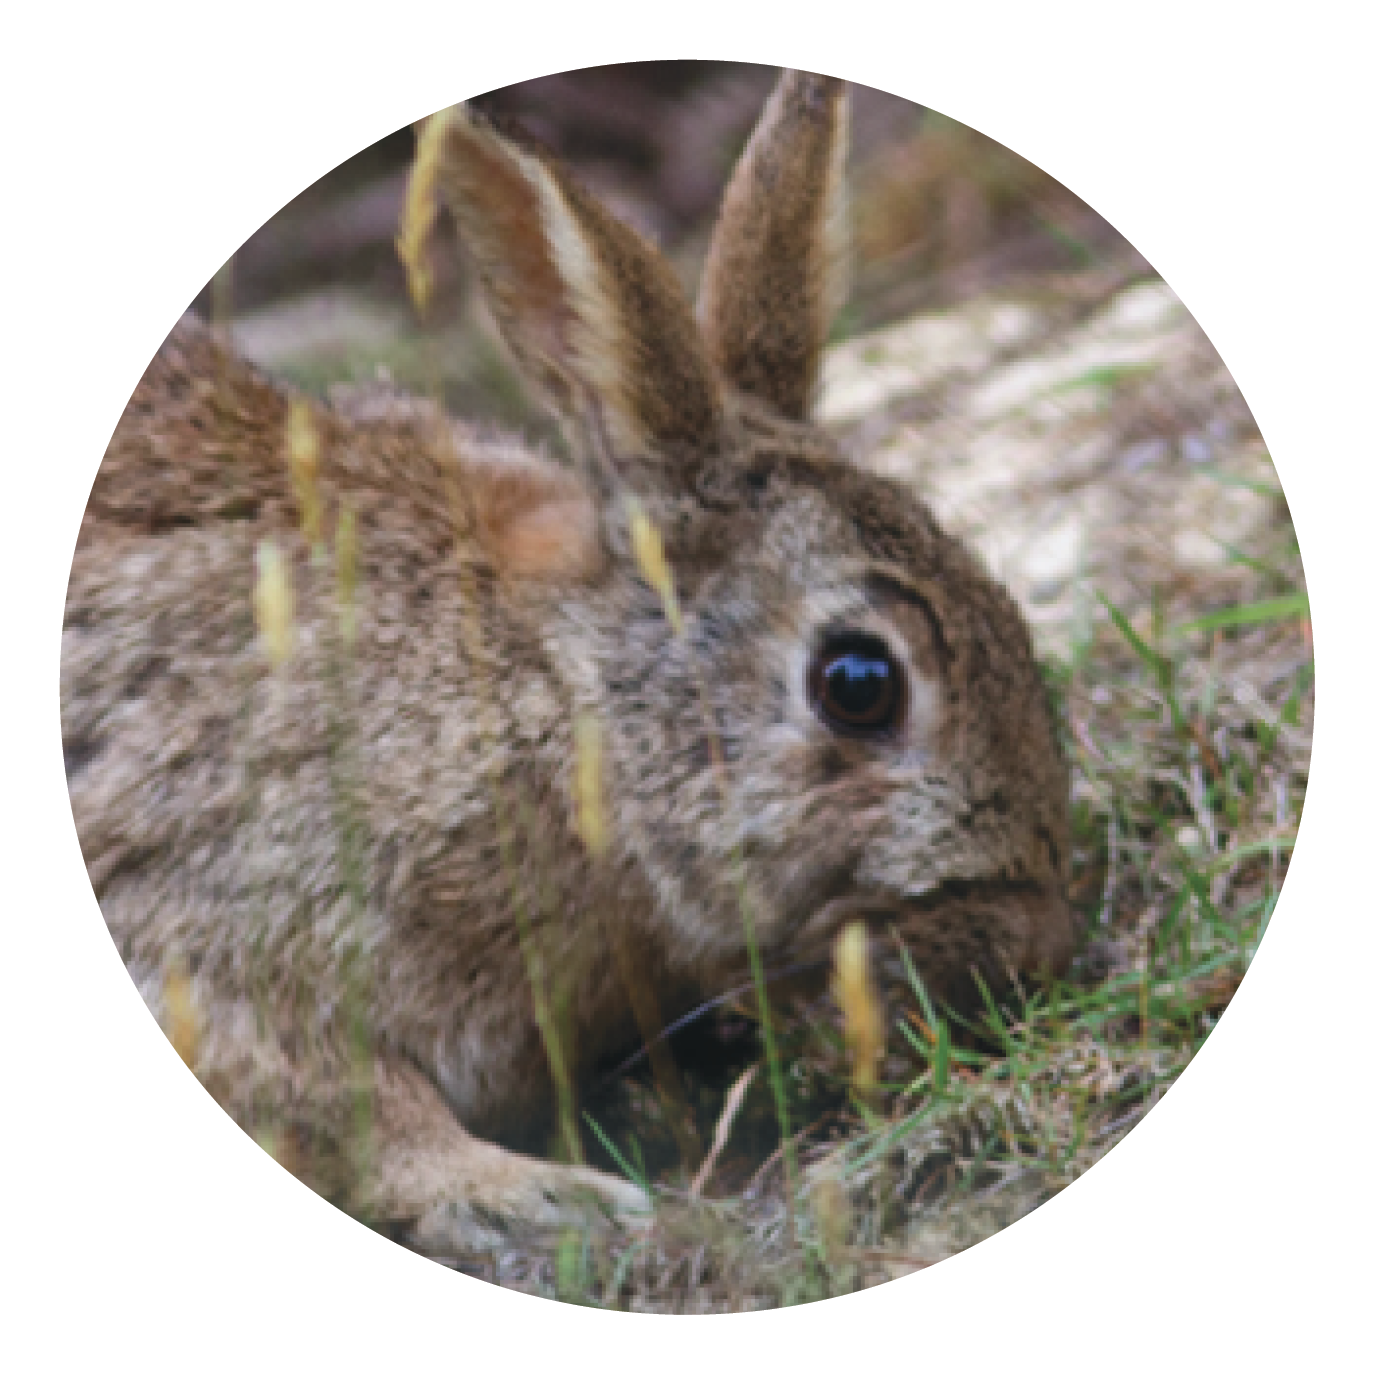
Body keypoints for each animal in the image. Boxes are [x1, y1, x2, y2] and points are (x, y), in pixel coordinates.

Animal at [61, 69, 1077, 1259]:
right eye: (858, 686)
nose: (1036, 942)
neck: (558, 698)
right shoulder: (222, 905)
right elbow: (348, 1099)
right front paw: (534, 1194)